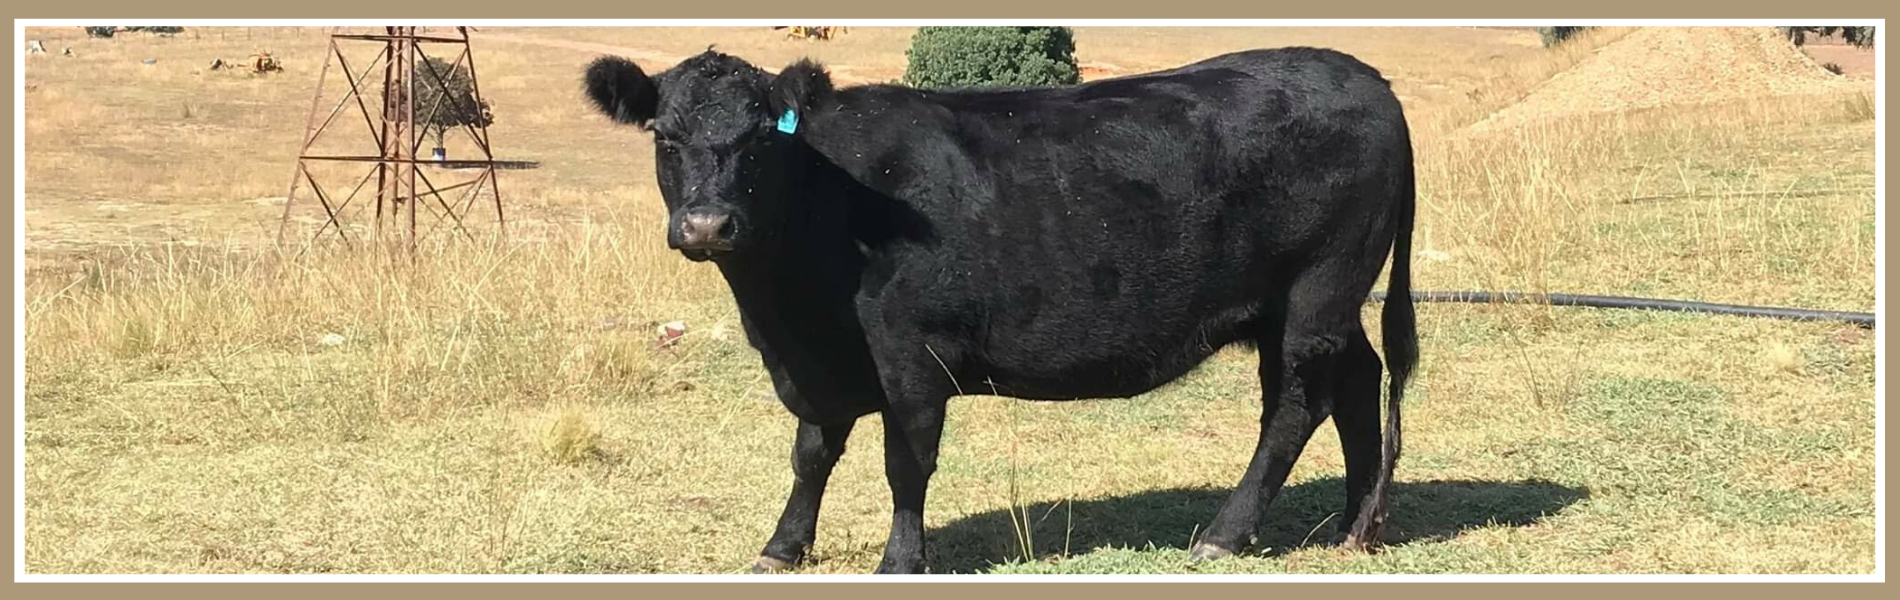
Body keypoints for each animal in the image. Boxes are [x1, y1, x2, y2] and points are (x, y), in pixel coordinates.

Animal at [582, 46, 1417, 574]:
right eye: (665, 137)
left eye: (760, 140)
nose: (706, 226)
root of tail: (1363, 76)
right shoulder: (817, 363)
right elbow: (811, 452)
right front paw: (783, 547)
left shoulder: (911, 355)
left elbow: (905, 463)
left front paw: (900, 560)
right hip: (1313, 307)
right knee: (1358, 380)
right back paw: (1356, 524)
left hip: (1314, 296)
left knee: (1296, 406)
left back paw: (1225, 534)